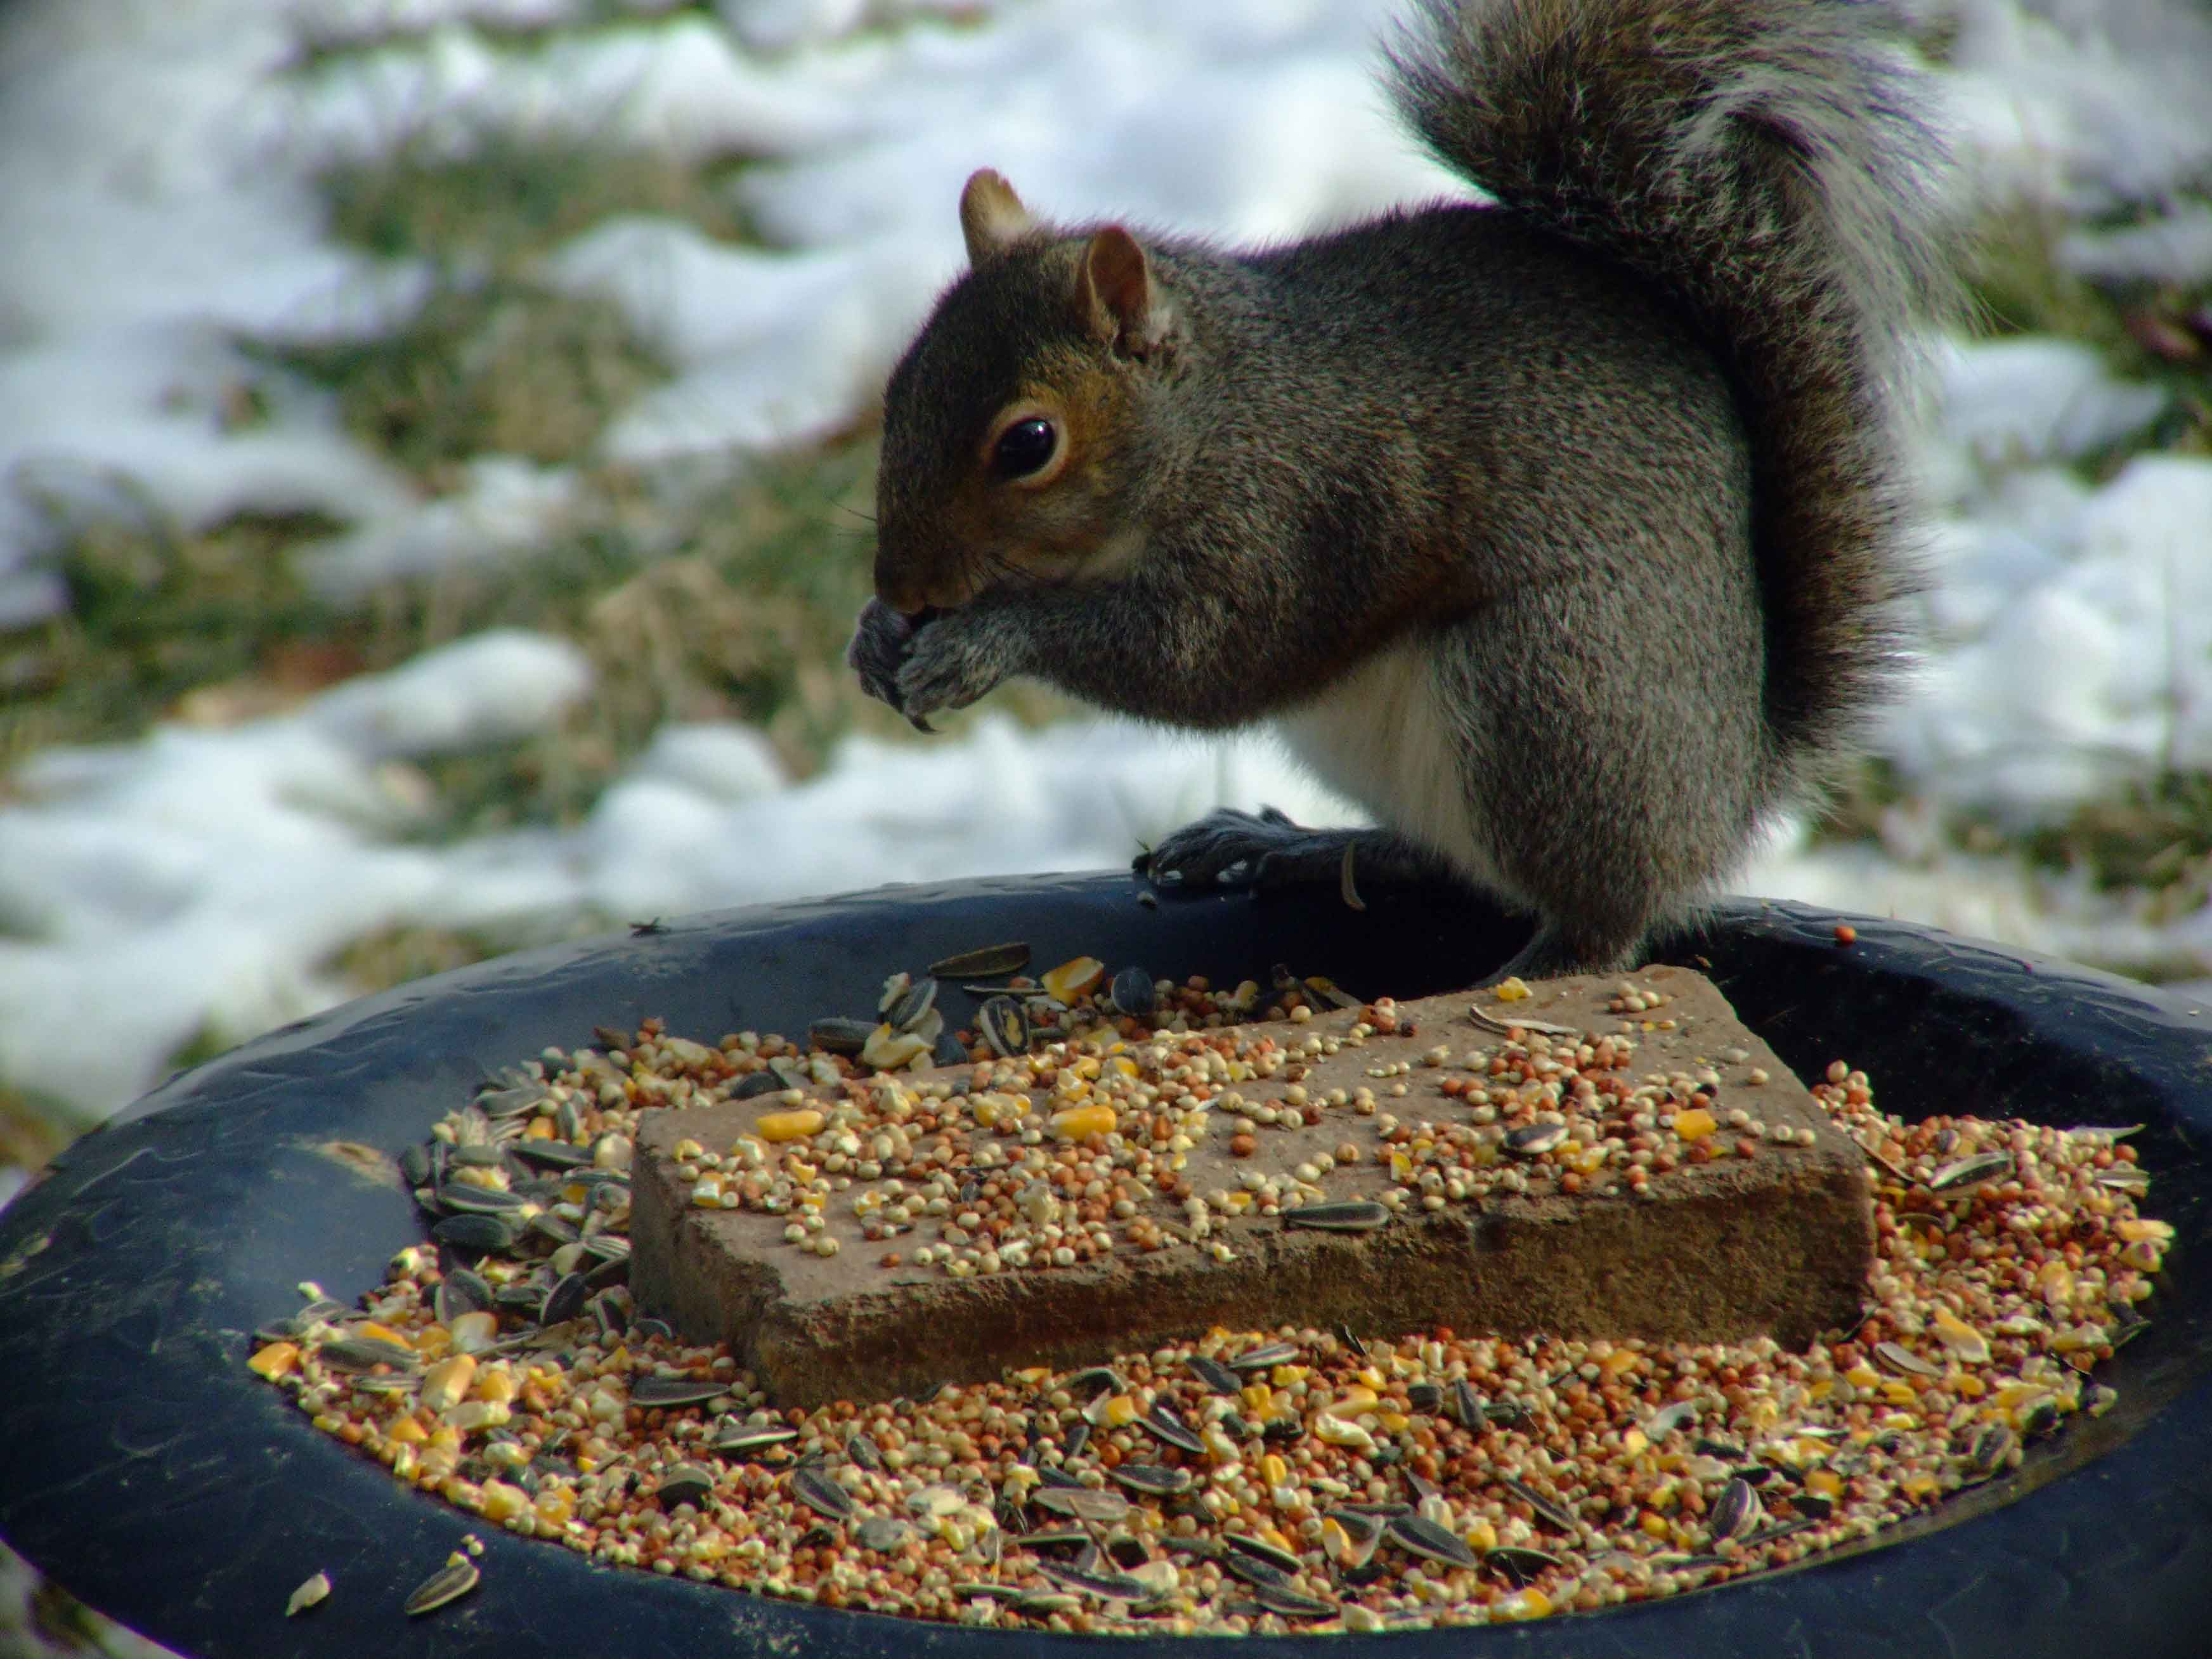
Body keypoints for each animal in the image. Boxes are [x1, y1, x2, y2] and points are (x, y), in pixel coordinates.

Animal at [845, 0, 1955, 986]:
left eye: (1029, 445)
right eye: (898, 389)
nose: (900, 585)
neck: (1212, 420)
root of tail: (1730, 789)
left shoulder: (1297, 512)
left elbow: (1203, 662)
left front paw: (983, 645)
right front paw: (875, 639)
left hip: (1549, 692)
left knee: (1604, 914)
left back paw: (1536, 969)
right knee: (1444, 860)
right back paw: (1284, 844)